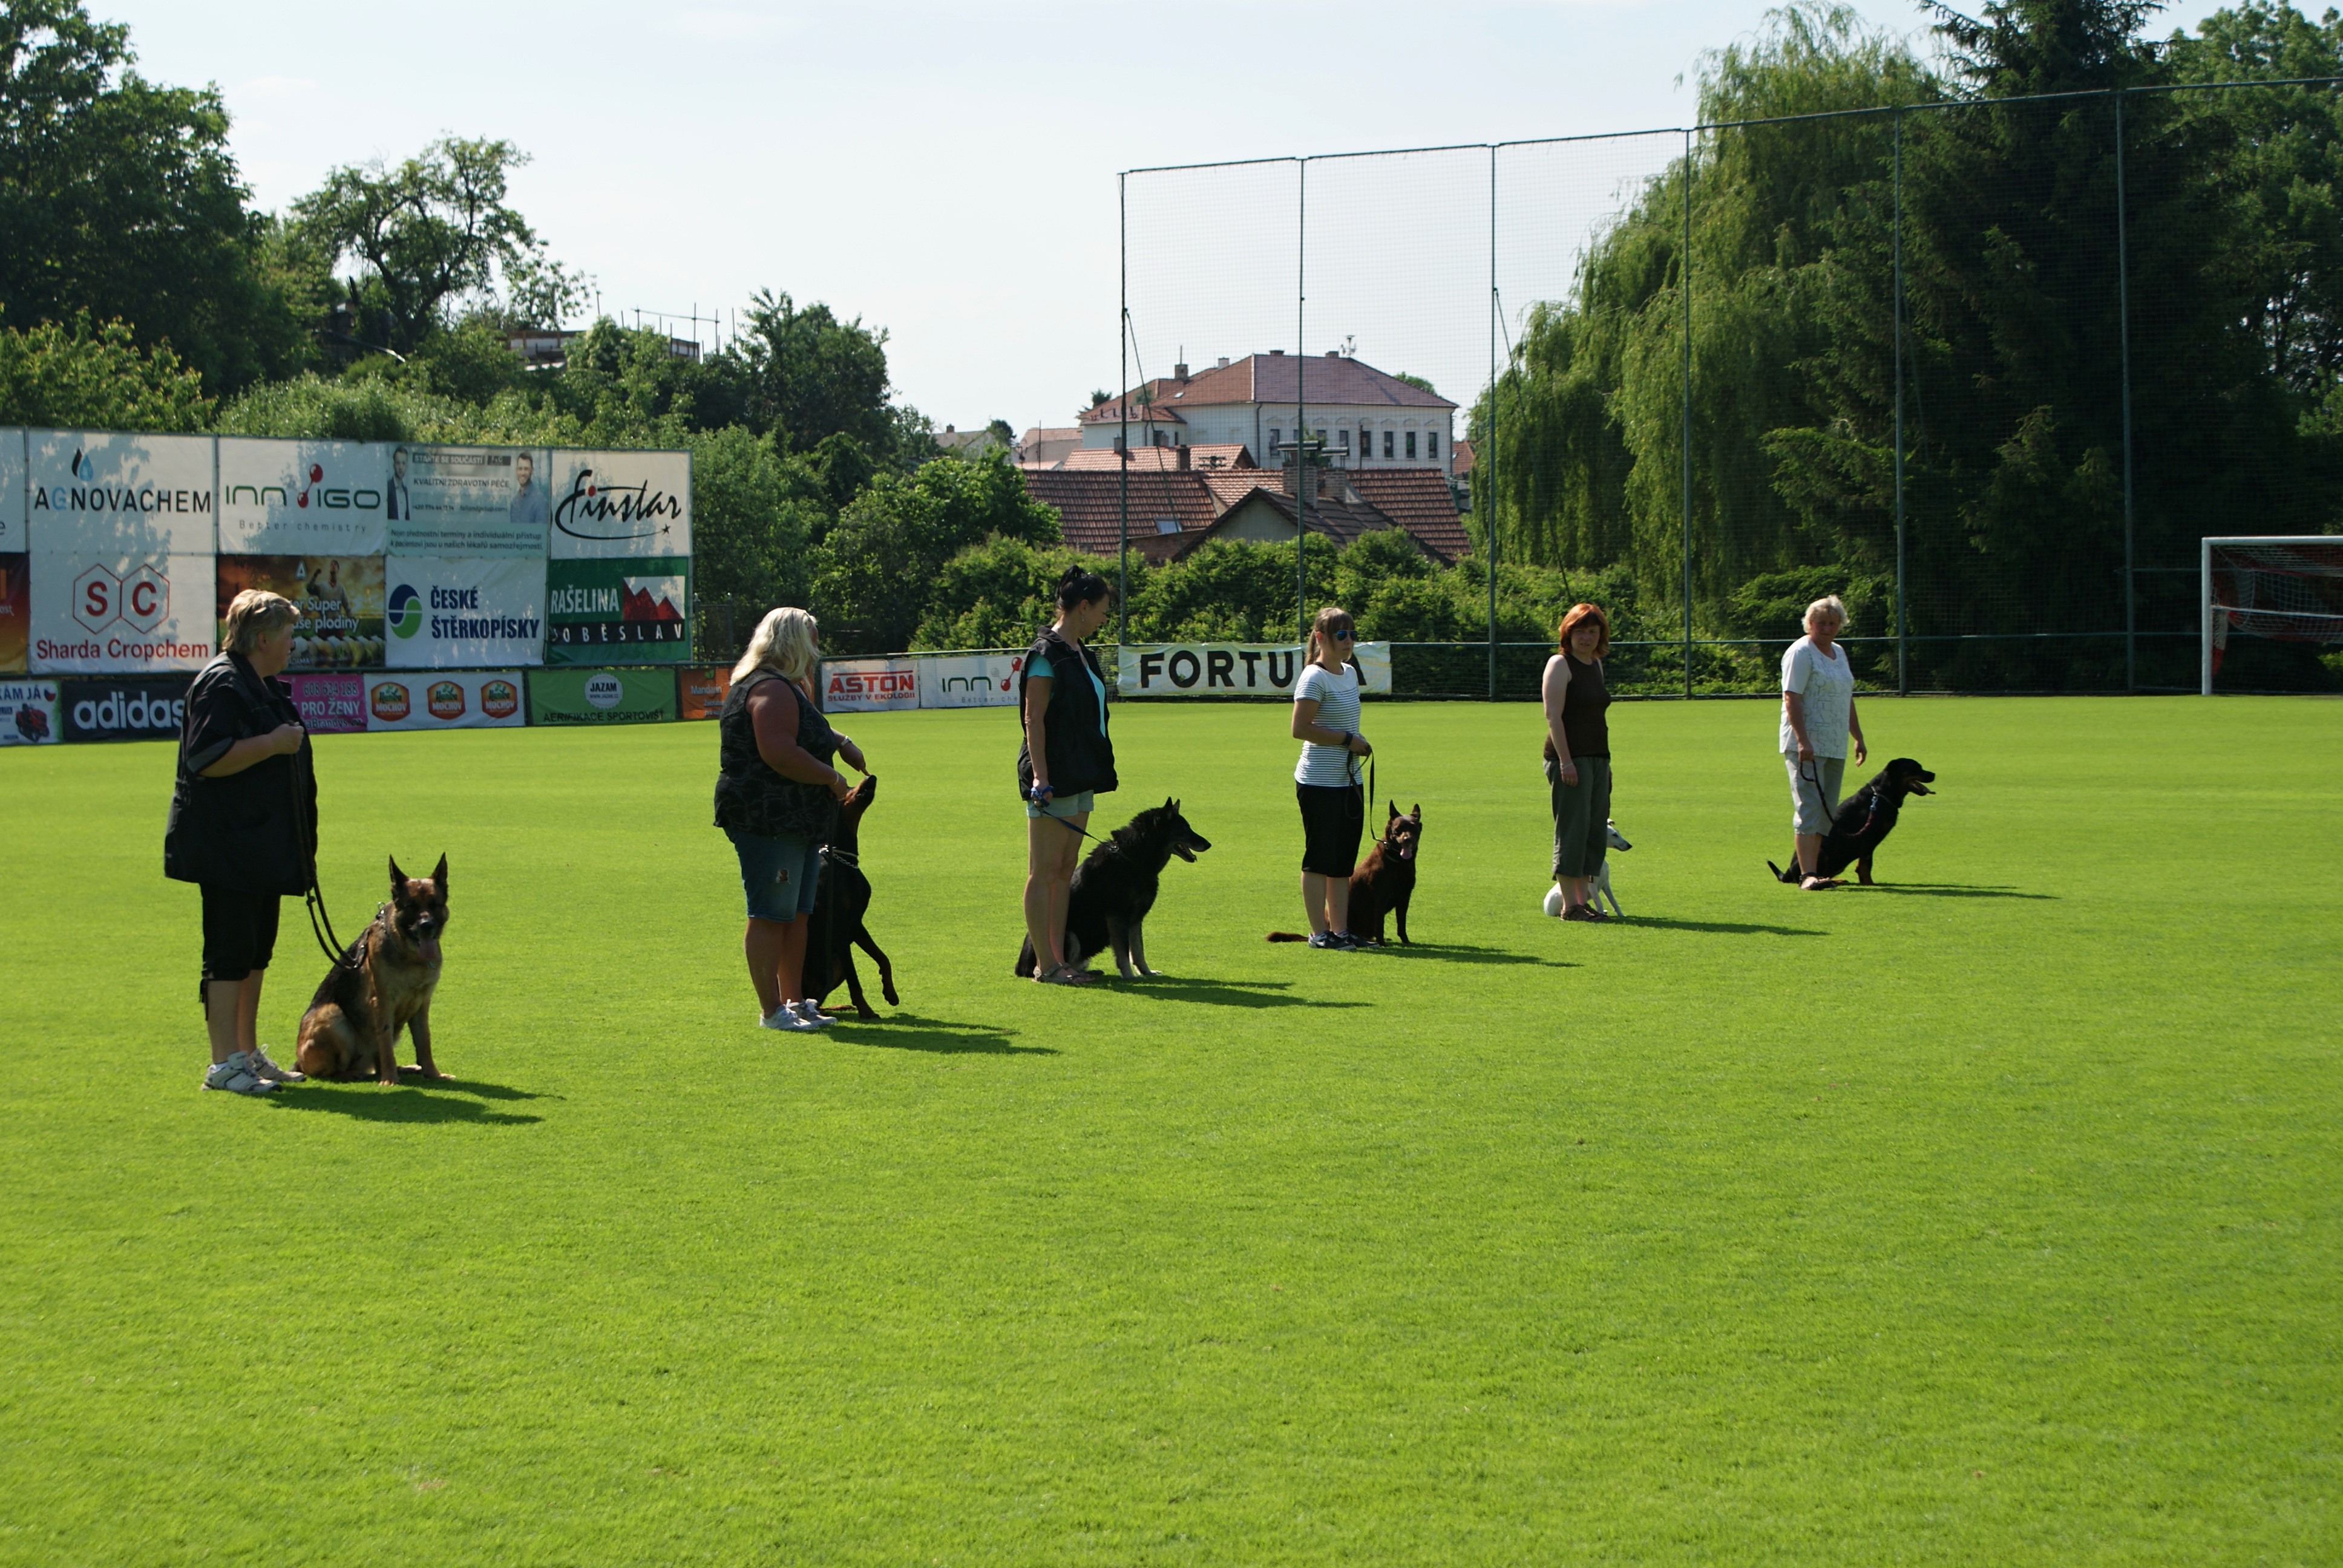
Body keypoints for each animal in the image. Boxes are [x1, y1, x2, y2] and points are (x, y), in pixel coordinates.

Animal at [297, 848, 447, 1082]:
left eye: (434, 905)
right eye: (411, 906)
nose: (427, 926)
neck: (409, 955)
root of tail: (298, 1062)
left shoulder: (422, 1004)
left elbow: (424, 1042)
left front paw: (432, 1073)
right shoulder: (382, 1002)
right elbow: (385, 1045)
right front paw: (390, 1079)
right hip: (332, 1015)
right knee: (335, 1071)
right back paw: (358, 1074)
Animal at [805, 773, 895, 1017]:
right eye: (846, 787)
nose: (871, 777)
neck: (842, 859)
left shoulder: (855, 923)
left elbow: (883, 958)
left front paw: (890, 992)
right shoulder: (839, 926)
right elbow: (854, 977)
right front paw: (866, 1010)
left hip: (834, 966)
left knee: (817, 999)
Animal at [1017, 797, 1218, 979]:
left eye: (1188, 827)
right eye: (1184, 829)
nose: (1208, 844)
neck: (1133, 857)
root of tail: (1019, 968)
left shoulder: (1136, 919)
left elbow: (1138, 950)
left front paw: (1146, 972)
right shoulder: (1117, 917)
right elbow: (1123, 951)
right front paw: (1129, 975)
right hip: (1070, 936)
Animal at [1537, 820, 1630, 918]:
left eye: (1618, 833)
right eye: (1614, 835)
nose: (1629, 846)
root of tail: (1546, 909)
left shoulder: (1606, 884)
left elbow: (1613, 902)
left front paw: (1621, 915)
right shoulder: (1592, 885)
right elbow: (1599, 902)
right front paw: (1601, 914)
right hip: (1560, 896)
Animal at [1761, 754, 1930, 886]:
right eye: (1916, 768)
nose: (1933, 774)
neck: (1881, 794)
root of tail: (1788, 873)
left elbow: (1863, 864)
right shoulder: (1868, 840)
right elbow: (1865, 865)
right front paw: (1869, 883)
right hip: (1823, 854)